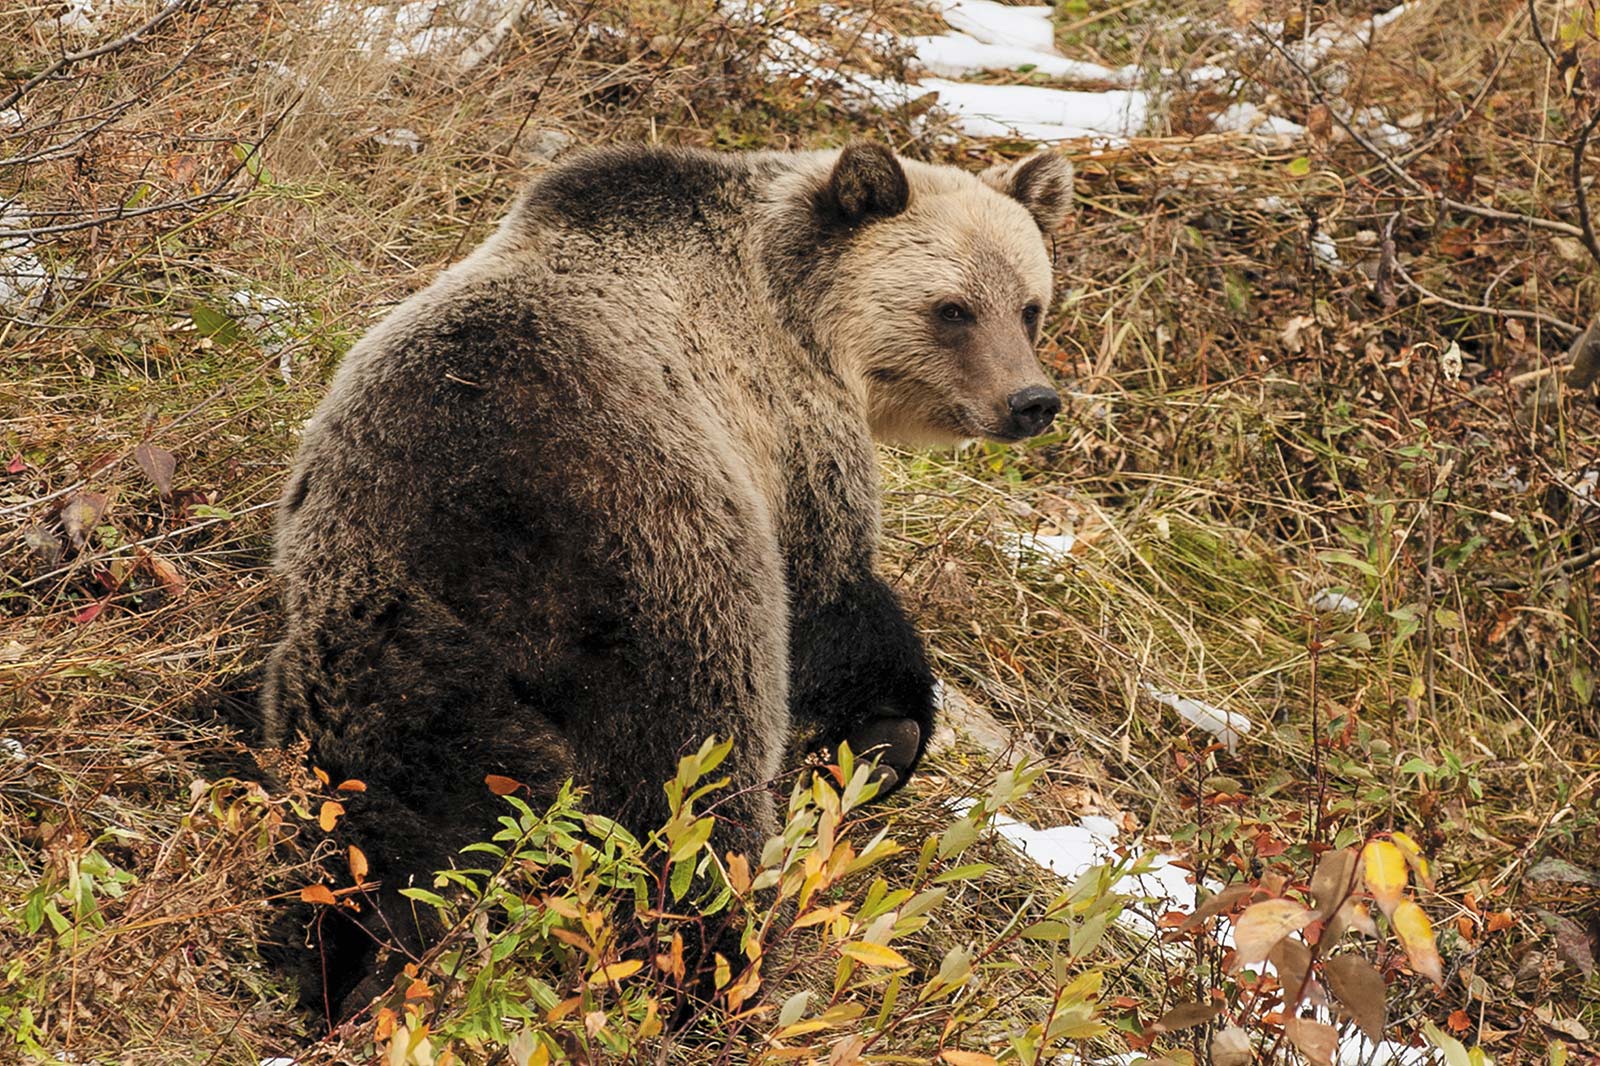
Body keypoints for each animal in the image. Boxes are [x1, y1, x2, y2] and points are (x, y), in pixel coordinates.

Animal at [265, 143, 1075, 1011]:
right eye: (952, 309)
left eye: (1029, 306)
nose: (1031, 400)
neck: (801, 310)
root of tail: (484, 532)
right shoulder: (788, 430)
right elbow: (833, 599)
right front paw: (888, 731)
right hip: (663, 575)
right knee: (688, 789)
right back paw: (716, 968)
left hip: (377, 640)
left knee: (413, 806)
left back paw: (360, 958)